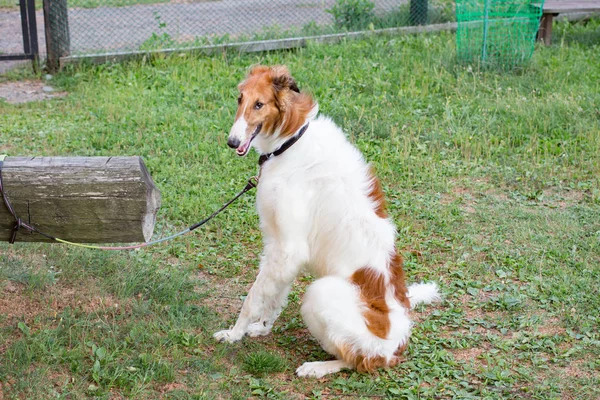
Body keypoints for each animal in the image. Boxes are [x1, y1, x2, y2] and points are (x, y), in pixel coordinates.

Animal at [213, 65, 438, 378]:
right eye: (239, 99)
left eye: (259, 104)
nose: (232, 142)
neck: (290, 141)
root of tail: (397, 342)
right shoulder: (279, 244)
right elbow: (274, 296)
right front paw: (261, 328)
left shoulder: (289, 248)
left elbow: (252, 297)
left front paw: (234, 334)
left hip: (321, 294)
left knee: (359, 361)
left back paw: (317, 367)